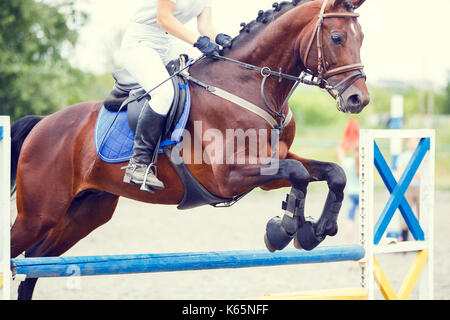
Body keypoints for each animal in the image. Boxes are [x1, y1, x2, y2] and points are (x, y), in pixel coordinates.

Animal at [9, 0, 370, 300]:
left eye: (362, 37)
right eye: (337, 37)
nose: (359, 99)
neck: (250, 85)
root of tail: (43, 123)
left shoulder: (271, 165)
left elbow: (331, 173)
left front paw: (315, 231)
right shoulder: (229, 175)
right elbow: (299, 174)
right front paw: (283, 230)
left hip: (86, 212)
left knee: (35, 263)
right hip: (40, 214)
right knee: (19, 253)